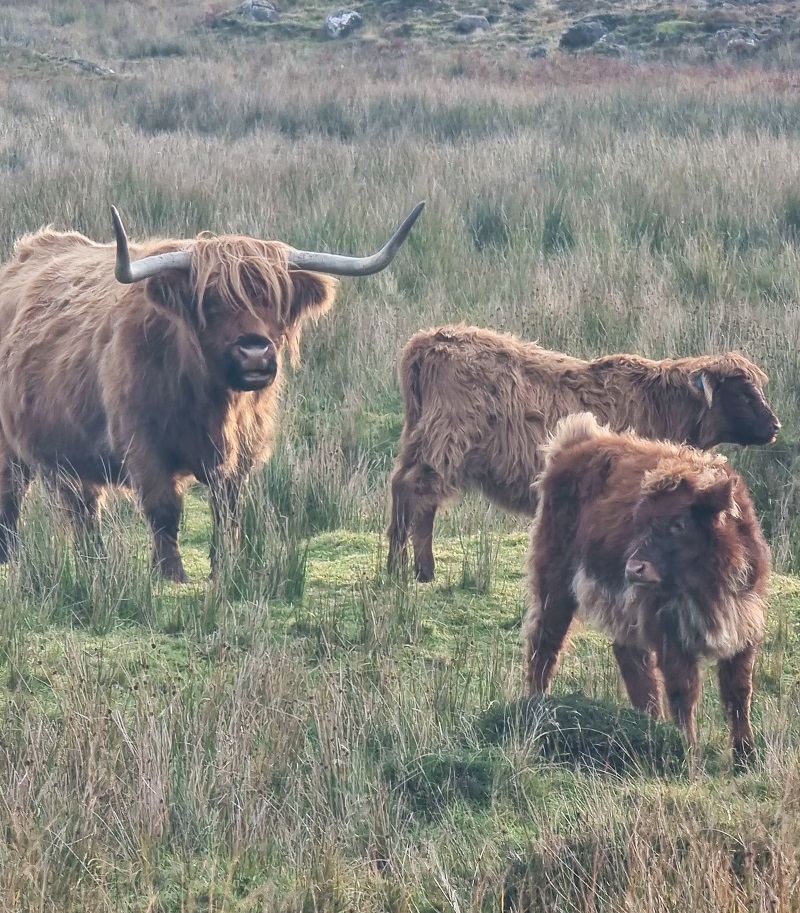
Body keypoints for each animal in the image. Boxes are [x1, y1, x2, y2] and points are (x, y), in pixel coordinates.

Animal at [0, 203, 424, 580]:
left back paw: (96, 566)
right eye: (213, 302)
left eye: (276, 301)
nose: (255, 351)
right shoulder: (143, 446)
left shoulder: (242, 453)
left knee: (83, 508)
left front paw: (226, 568)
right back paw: (12, 561)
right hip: (12, 450)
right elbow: (164, 509)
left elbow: (228, 511)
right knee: (15, 499)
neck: (214, 403)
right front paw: (171, 574)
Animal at [384, 326, 780, 584]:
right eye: (743, 394)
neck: (664, 405)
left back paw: (407, 568)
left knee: (406, 489)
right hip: (447, 440)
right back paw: (411, 570)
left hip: (419, 436)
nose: (775, 425)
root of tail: (428, 340)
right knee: (417, 489)